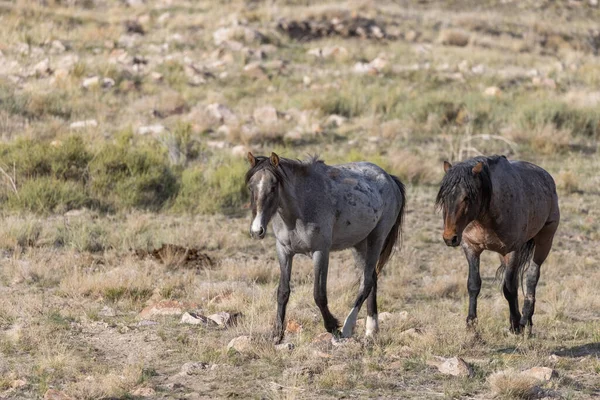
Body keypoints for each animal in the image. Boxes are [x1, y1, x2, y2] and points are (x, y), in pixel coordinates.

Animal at [246, 152, 406, 342]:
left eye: (273, 187)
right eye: (251, 187)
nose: (257, 230)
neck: (300, 209)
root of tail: (389, 178)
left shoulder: (320, 252)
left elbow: (319, 294)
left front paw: (333, 327)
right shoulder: (284, 252)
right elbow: (283, 292)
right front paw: (278, 335)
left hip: (377, 238)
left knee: (366, 281)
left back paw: (348, 327)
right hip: (360, 245)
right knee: (372, 278)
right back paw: (371, 330)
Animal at [436, 155, 556, 334]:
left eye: (466, 197)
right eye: (444, 197)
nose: (449, 238)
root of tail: (546, 176)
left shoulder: (513, 250)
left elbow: (509, 288)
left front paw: (515, 325)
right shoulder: (471, 248)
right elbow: (474, 284)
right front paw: (471, 323)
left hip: (544, 242)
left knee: (531, 277)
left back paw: (526, 320)